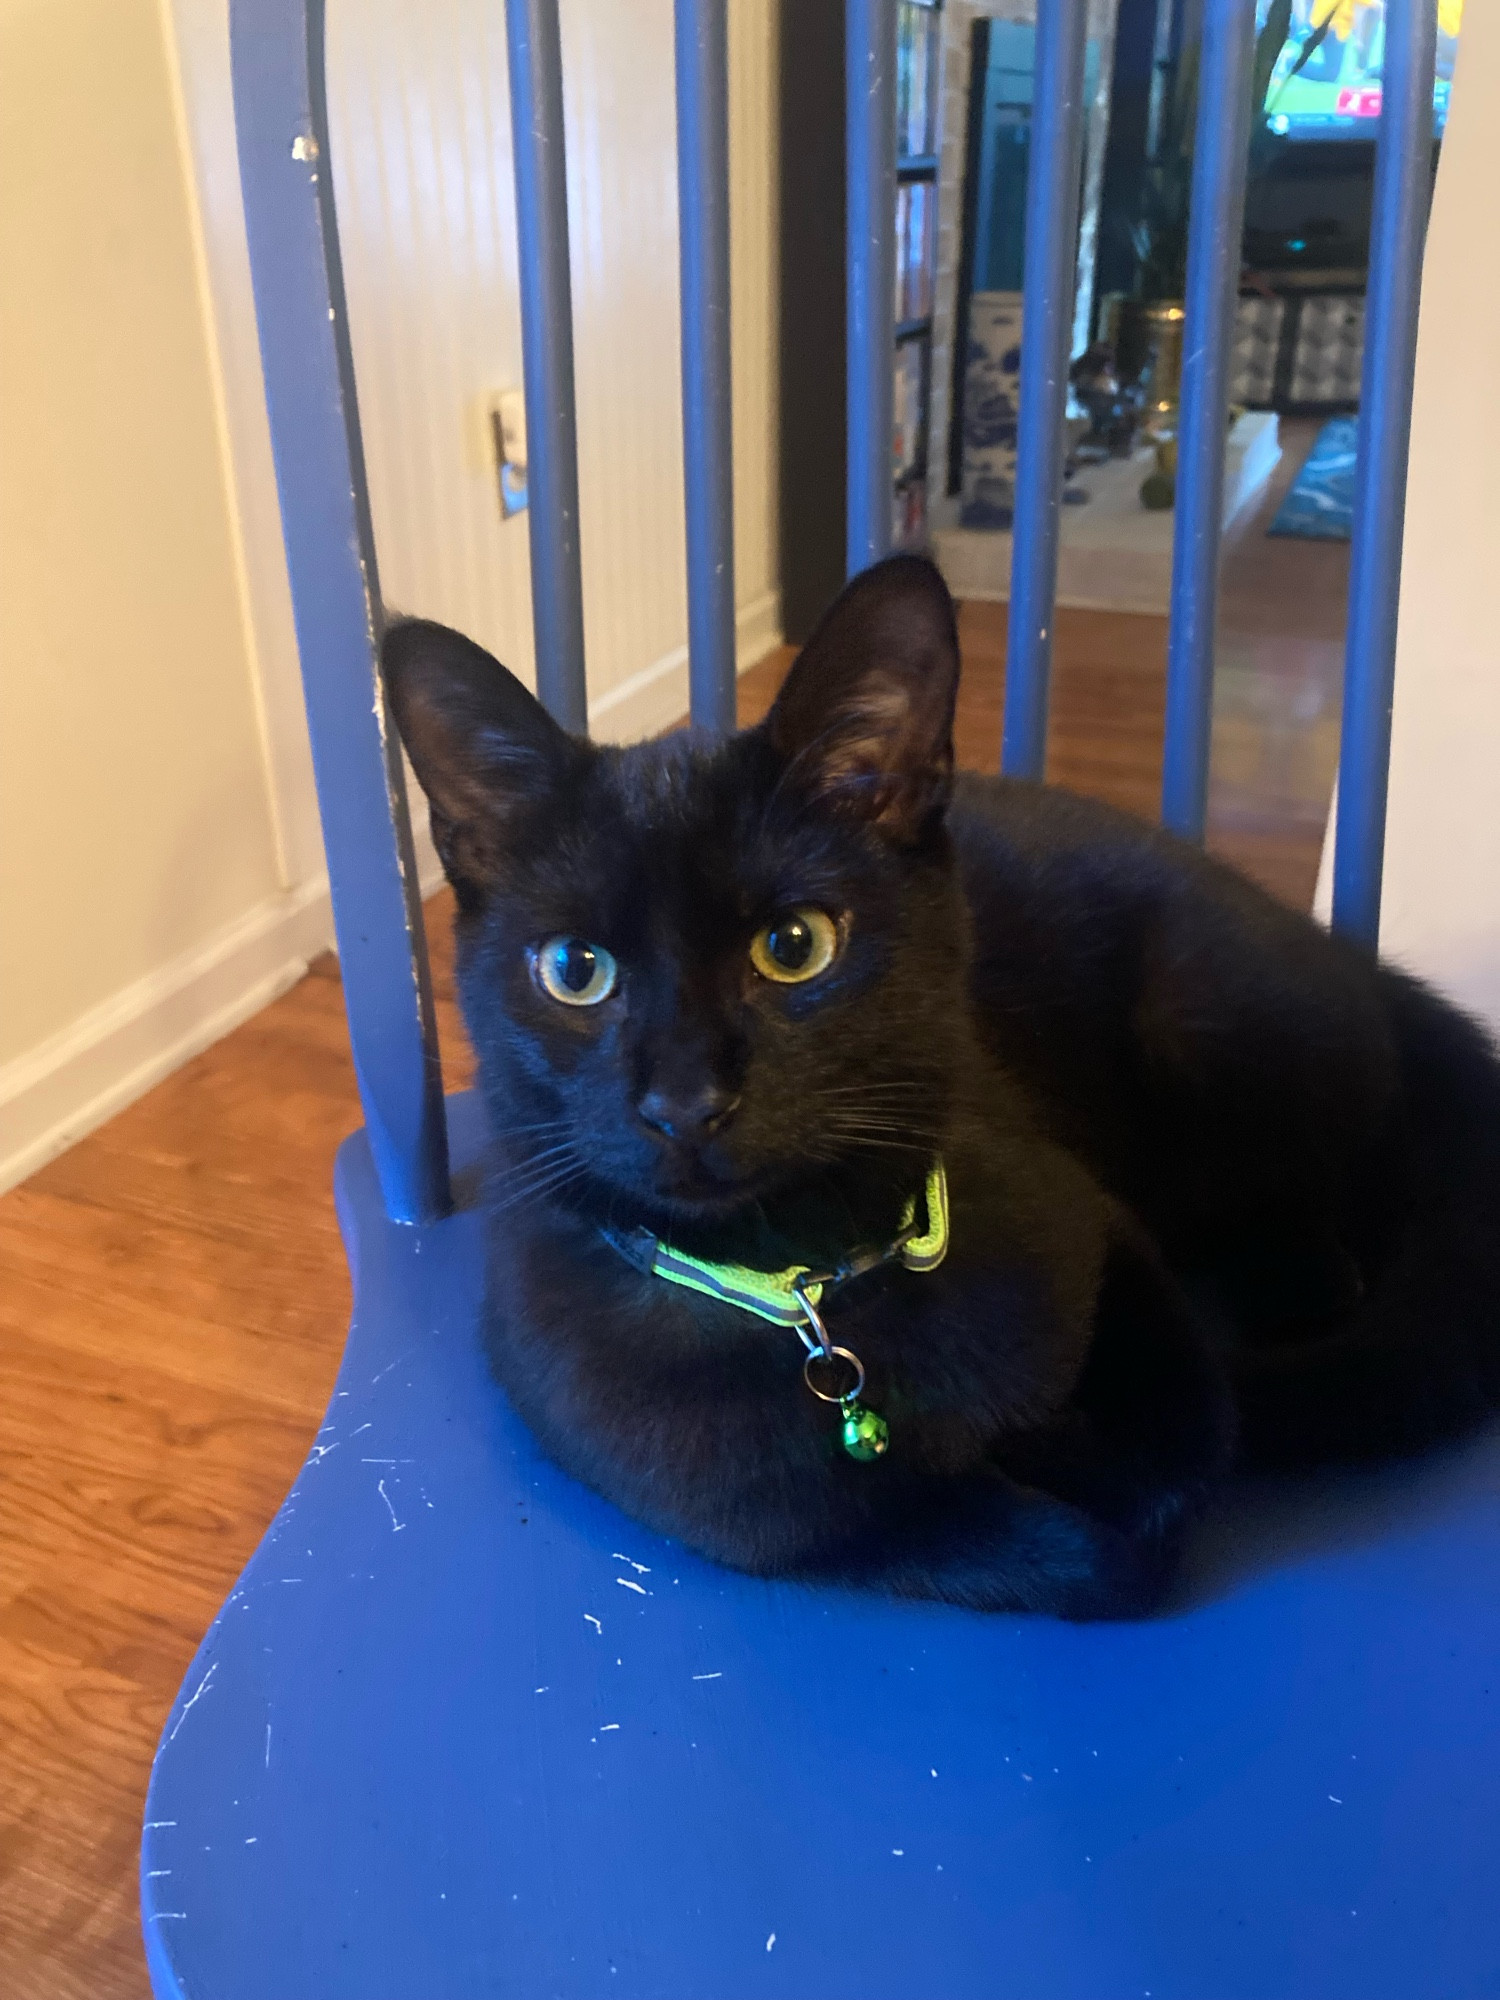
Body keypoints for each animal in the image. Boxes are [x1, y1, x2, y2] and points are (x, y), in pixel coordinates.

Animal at [388, 556, 1500, 1616]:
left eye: (795, 945)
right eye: (574, 969)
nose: (686, 1105)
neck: (811, 1287)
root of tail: (1352, 961)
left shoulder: (1100, 1228)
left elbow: (1187, 1444)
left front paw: (1059, 1440)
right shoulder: (783, 1523)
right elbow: (1056, 1552)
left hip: (1208, 1026)